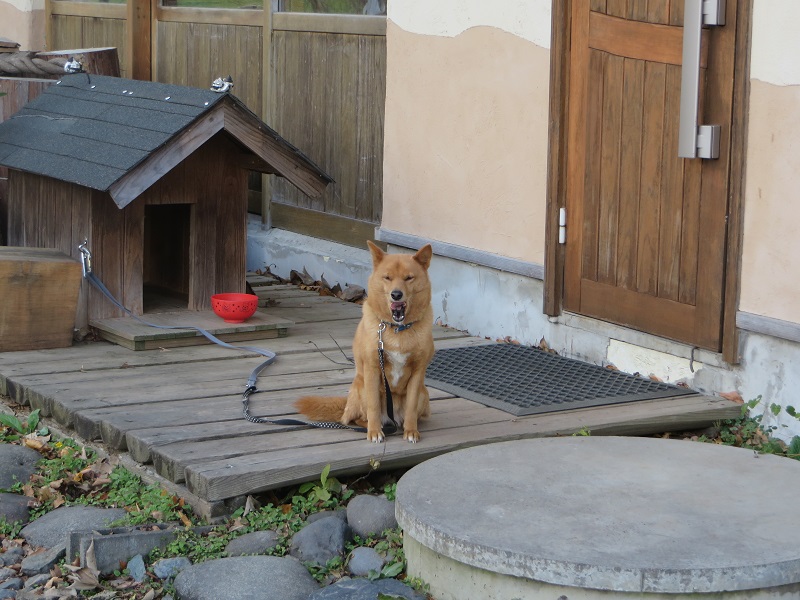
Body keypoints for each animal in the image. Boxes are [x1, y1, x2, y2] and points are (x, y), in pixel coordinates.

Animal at [295, 241, 434, 443]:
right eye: (387, 277)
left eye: (409, 278)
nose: (396, 294)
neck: (396, 329)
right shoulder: (372, 369)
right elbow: (374, 407)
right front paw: (375, 432)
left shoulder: (417, 373)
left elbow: (411, 407)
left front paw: (411, 431)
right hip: (361, 390)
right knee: (355, 418)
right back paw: (372, 426)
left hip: (424, 394)